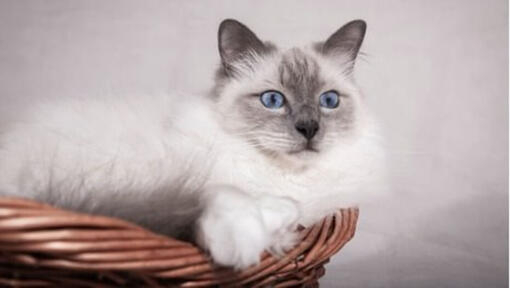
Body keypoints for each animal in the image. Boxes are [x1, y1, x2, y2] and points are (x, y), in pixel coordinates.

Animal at [0, 19, 382, 268]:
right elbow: (221, 196)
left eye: (329, 101)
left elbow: (291, 209)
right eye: (273, 100)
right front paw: (239, 246)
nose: (309, 128)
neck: (283, 178)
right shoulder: (182, 181)